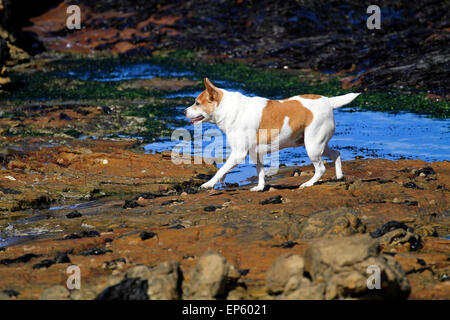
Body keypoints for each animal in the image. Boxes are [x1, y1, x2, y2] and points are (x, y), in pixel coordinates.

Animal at [185, 78, 360, 191]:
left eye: (197, 103)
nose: (183, 111)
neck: (231, 110)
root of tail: (327, 101)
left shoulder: (238, 154)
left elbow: (221, 169)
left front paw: (209, 184)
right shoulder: (255, 153)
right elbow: (260, 172)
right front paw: (260, 187)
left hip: (313, 146)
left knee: (321, 169)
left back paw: (308, 184)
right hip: (316, 144)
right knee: (336, 154)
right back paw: (339, 176)